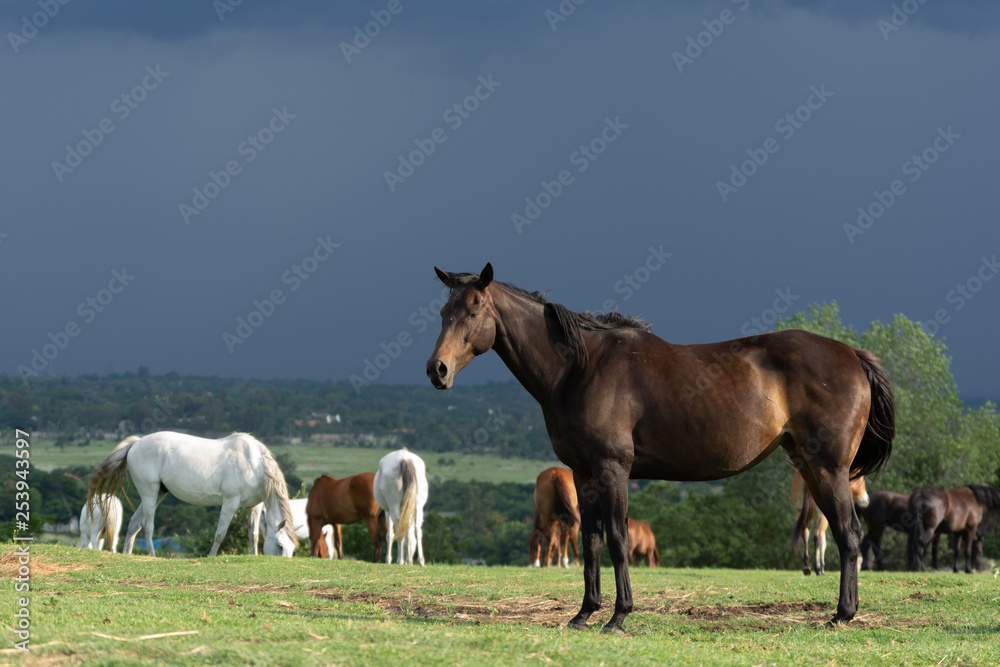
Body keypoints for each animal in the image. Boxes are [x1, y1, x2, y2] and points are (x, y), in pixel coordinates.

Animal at [86, 434, 298, 560]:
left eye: (292, 548)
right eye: (280, 546)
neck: (254, 464)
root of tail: (136, 443)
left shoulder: (254, 506)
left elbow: (253, 535)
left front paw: (253, 556)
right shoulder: (230, 503)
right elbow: (220, 534)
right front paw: (211, 556)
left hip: (157, 494)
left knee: (134, 524)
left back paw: (128, 554)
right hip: (149, 492)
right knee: (147, 526)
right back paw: (153, 555)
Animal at [426, 264, 896, 636]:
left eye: (473, 312)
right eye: (444, 313)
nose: (437, 370)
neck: (580, 368)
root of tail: (852, 355)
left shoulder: (612, 470)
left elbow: (617, 539)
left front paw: (618, 617)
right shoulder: (583, 475)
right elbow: (591, 542)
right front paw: (584, 614)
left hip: (830, 469)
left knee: (848, 534)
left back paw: (842, 614)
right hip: (810, 466)